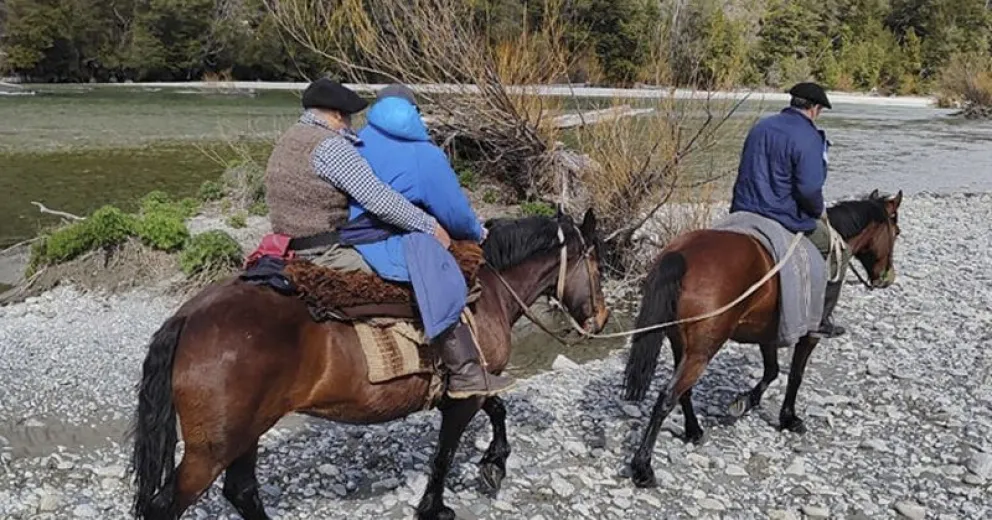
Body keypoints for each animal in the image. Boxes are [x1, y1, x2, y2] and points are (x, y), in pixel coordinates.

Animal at [129, 209, 611, 520]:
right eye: (599, 265)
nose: (602, 319)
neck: (488, 289)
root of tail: (188, 316)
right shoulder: (464, 394)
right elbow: (445, 453)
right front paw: (437, 505)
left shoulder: (467, 388)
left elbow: (497, 408)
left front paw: (495, 461)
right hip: (213, 448)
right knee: (166, 506)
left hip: (246, 432)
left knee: (242, 491)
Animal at [621, 189, 902, 488]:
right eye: (896, 232)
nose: (886, 278)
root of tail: (681, 254)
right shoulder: (808, 334)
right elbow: (795, 375)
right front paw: (789, 418)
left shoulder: (768, 332)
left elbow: (772, 370)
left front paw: (744, 402)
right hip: (701, 351)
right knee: (667, 397)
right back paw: (643, 467)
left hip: (681, 344)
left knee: (682, 391)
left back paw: (694, 430)